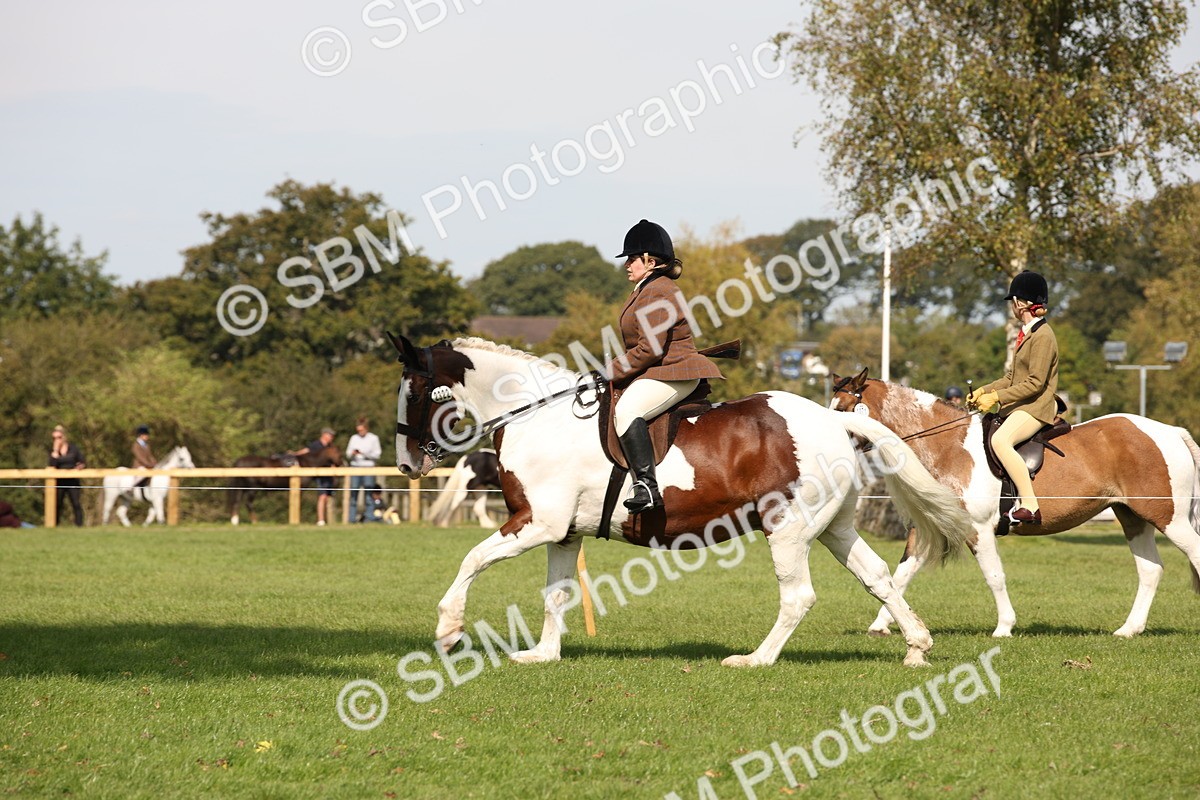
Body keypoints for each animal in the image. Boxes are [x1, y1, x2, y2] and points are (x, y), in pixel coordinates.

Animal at [390, 334, 972, 667]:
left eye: (414, 391)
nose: (406, 465)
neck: (536, 414)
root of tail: (834, 420)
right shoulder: (563, 532)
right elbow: (556, 593)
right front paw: (543, 655)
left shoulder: (535, 522)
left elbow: (472, 560)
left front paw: (447, 631)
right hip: (833, 527)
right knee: (877, 576)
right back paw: (916, 647)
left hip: (787, 528)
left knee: (798, 596)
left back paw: (755, 660)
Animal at [829, 368, 1200, 638]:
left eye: (843, 410)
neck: (948, 445)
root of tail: (1170, 431)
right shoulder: (930, 525)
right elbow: (902, 573)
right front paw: (882, 624)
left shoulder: (977, 528)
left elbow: (994, 575)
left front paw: (1004, 627)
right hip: (1133, 516)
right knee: (1150, 570)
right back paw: (1128, 630)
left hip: (1169, 518)